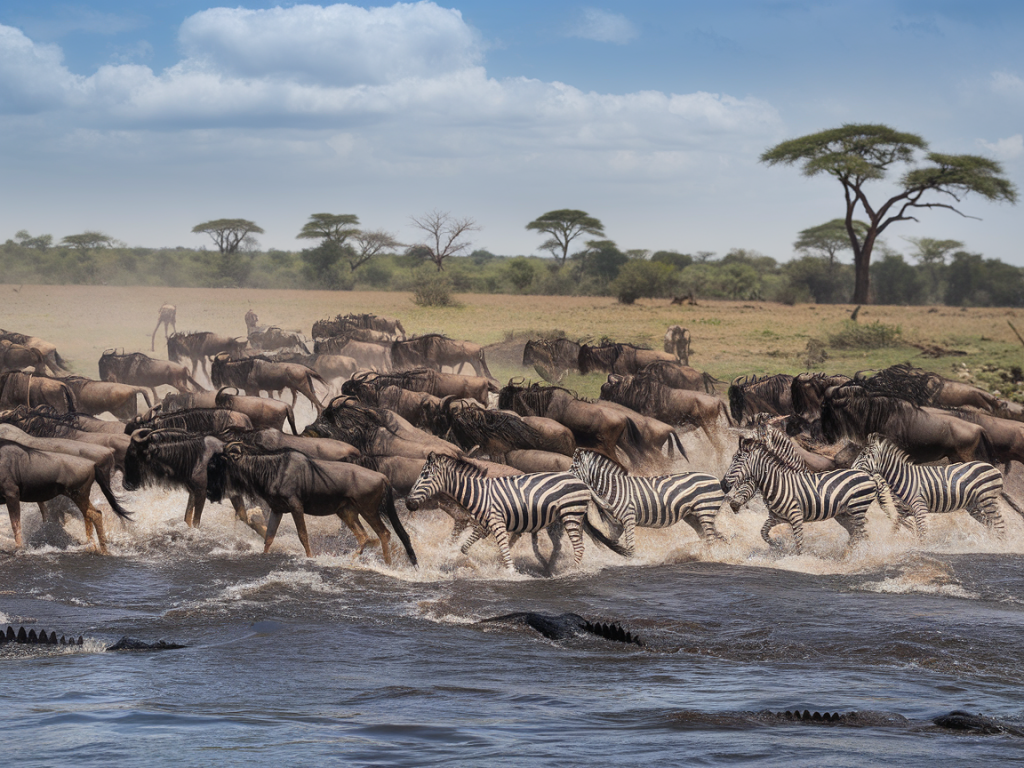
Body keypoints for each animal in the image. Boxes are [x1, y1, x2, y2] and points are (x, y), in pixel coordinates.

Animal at [405, 450, 614, 573]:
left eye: (424, 476)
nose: (408, 503)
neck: (480, 494)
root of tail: (582, 482)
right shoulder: (484, 526)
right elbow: (465, 547)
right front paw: (473, 563)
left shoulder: (497, 523)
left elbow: (505, 550)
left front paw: (511, 573)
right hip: (564, 518)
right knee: (565, 546)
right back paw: (552, 570)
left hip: (571, 513)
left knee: (578, 547)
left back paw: (573, 572)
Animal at [569, 448, 729, 557]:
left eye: (574, 468)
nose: (568, 481)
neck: (614, 488)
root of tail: (715, 478)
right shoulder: (617, 524)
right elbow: (608, 536)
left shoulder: (628, 517)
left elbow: (631, 547)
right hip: (693, 516)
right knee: (714, 535)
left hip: (705, 511)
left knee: (710, 538)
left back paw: (711, 556)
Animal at [720, 438, 880, 552]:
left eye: (737, 460)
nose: (722, 485)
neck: (777, 484)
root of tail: (868, 475)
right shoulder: (776, 517)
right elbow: (763, 533)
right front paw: (776, 545)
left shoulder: (796, 516)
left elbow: (798, 543)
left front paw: (797, 558)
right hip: (844, 514)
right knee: (858, 534)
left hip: (858, 508)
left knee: (861, 533)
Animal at [847, 436, 1007, 536]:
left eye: (863, 455)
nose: (851, 469)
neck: (903, 478)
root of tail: (994, 468)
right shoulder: (903, 512)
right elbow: (895, 530)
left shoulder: (920, 508)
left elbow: (922, 533)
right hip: (975, 506)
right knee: (991, 524)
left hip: (988, 500)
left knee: (999, 524)